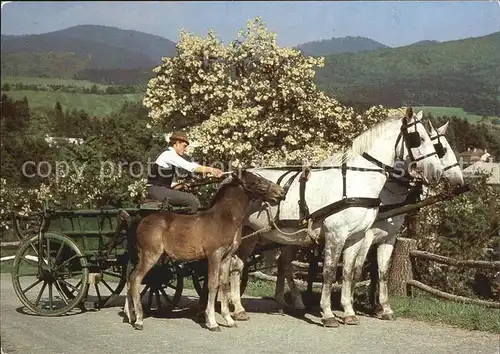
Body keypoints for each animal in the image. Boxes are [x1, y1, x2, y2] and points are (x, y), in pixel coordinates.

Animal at [121, 170, 286, 330]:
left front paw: (229, 320)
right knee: (136, 279)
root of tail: (140, 221)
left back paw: (130, 316)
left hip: (140, 255)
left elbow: (224, 285)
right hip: (150, 255)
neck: (224, 218)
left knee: (130, 278)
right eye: (256, 182)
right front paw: (212, 323)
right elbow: (213, 285)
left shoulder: (226, 257)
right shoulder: (214, 255)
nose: (281, 193)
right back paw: (139, 320)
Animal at [230, 109, 442, 328]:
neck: (356, 182)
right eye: (419, 138)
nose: (437, 172)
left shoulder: (356, 237)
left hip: (255, 235)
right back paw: (238, 307)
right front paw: (328, 314)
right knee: (234, 265)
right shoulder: (336, 234)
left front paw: (349, 312)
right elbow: (330, 272)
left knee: (240, 265)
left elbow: (348, 272)